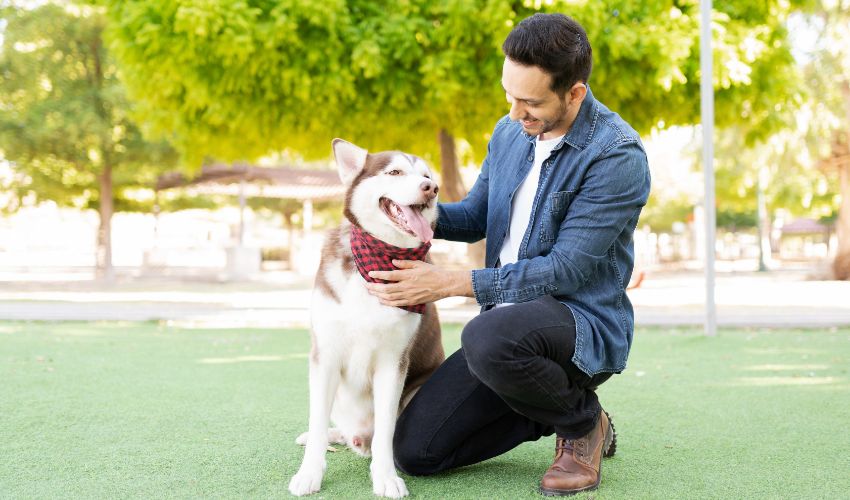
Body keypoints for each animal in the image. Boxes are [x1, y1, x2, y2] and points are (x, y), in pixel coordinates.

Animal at [288, 139, 444, 498]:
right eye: (395, 172)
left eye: (427, 176)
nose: (431, 189)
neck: (378, 258)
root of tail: (360, 437)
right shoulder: (325, 356)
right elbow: (317, 419)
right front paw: (310, 472)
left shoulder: (393, 361)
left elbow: (387, 430)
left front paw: (385, 477)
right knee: (329, 425)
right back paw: (326, 437)